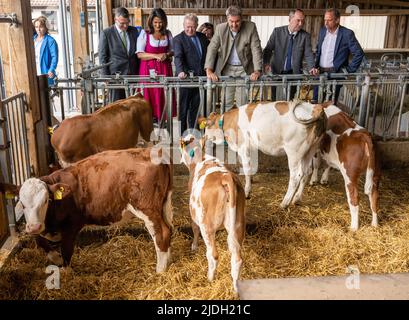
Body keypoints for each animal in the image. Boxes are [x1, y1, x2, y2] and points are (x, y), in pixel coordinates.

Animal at [14, 149, 172, 272]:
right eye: (21, 203)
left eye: (46, 200)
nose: (34, 226)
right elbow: (39, 241)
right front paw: (56, 259)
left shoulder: (71, 226)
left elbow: (66, 250)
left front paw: (65, 271)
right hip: (161, 207)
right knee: (169, 229)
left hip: (147, 208)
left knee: (162, 233)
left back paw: (160, 270)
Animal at [179, 134, 244, 292]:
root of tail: (225, 177)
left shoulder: (194, 213)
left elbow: (194, 228)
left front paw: (194, 247)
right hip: (238, 225)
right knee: (237, 259)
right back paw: (236, 289)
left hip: (206, 225)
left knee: (213, 255)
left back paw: (209, 279)